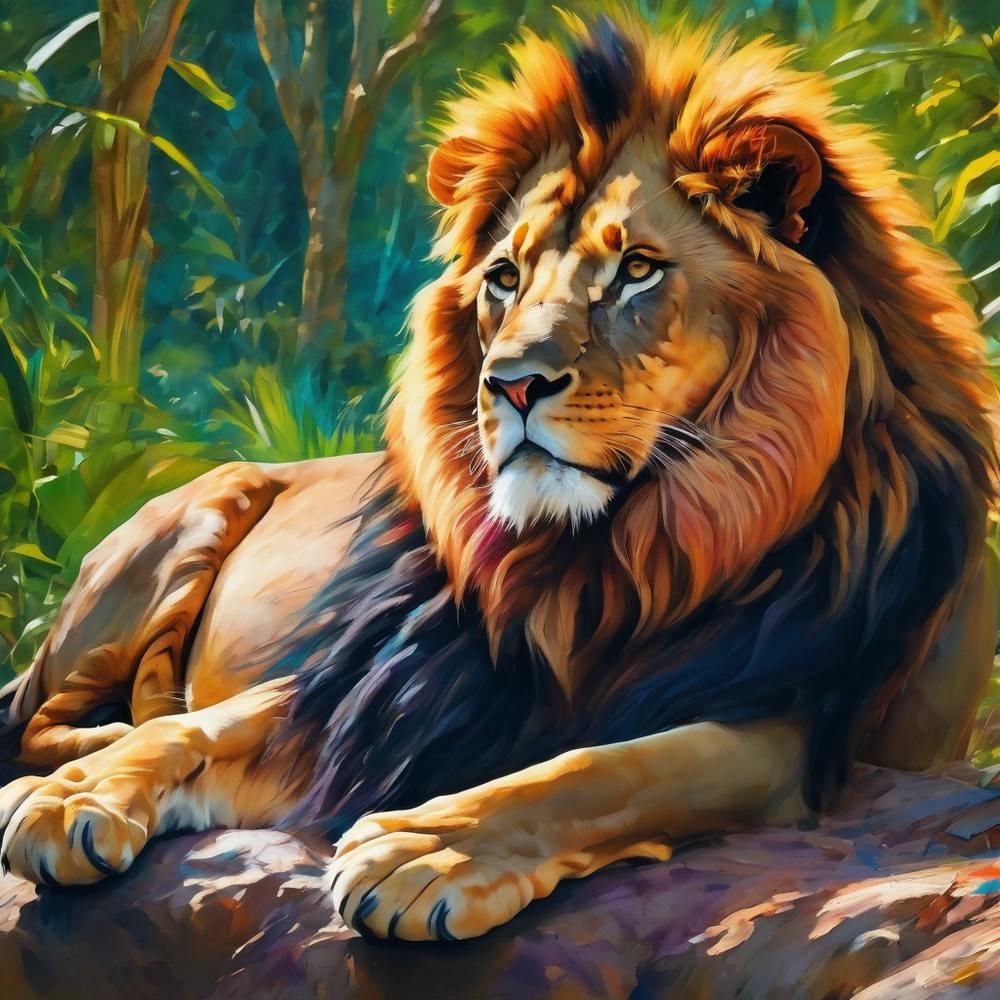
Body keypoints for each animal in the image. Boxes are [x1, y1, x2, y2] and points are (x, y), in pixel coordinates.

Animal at [0, 15, 996, 943]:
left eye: (638, 269)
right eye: (506, 277)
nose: (510, 382)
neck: (600, 562)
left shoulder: (795, 726)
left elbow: (605, 769)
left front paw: (425, 851)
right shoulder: (376, 681)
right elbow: (205, 726)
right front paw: (78, 795)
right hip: (196, 514)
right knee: (48, 713)